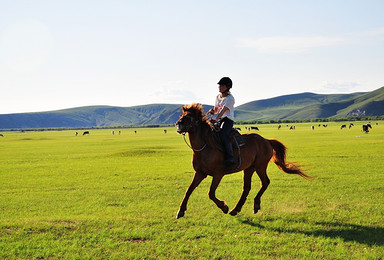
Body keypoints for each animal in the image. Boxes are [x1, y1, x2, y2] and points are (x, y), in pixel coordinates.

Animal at [176, 103, 310, 219]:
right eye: (181, 115)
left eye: (189, 117)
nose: (178, 124)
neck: (206, 147)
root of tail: (266, 140)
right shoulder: (200, 173)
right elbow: (189, 190)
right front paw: (181, 211)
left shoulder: (218, 174)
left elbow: (211, 193)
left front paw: (224, 207)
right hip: (249, 168)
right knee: (247, 188)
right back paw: (236, 209)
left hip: (260, 166)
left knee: (265, 182)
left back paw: (255, 205)